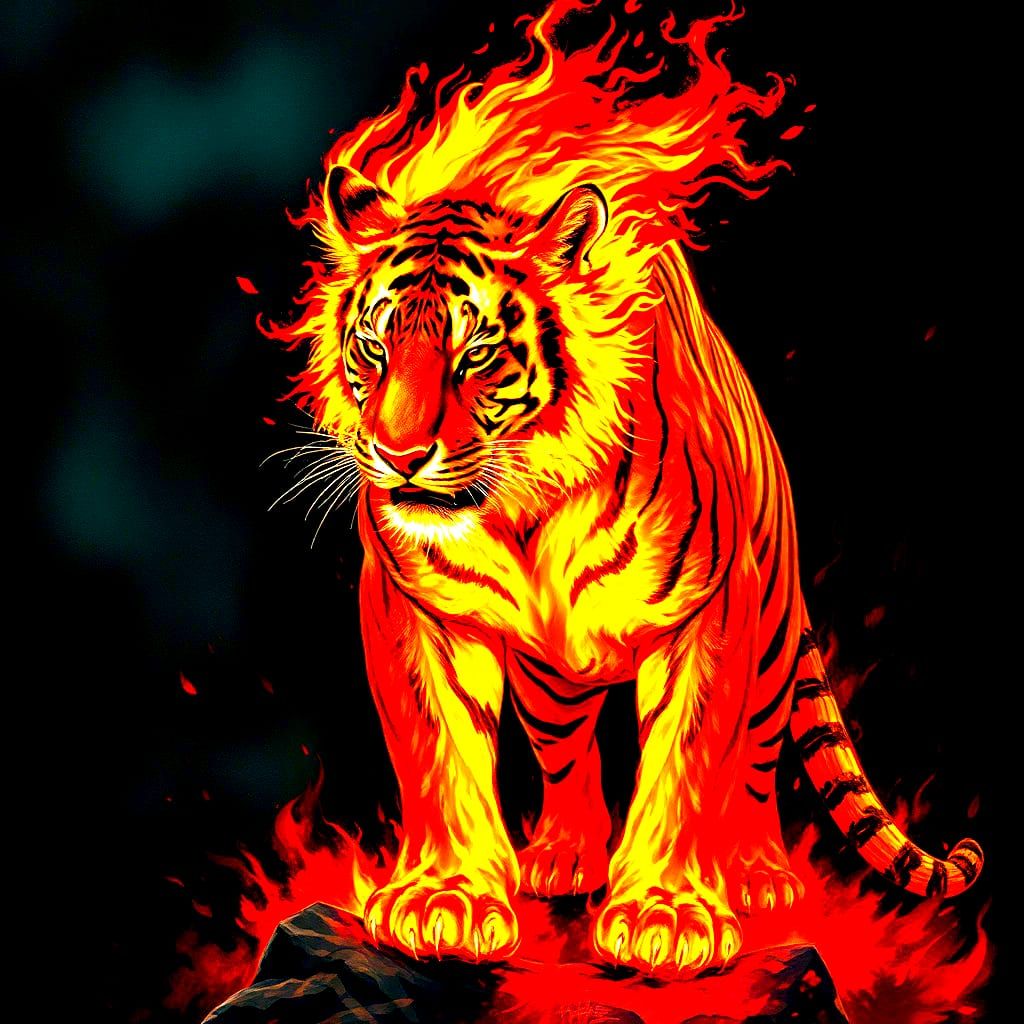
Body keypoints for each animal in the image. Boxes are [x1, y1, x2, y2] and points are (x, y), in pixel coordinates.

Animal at [271, 3, 983, 976]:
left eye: (474, 351)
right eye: (377, 346)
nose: (396, 451)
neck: (522, 514)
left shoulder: (709, 617)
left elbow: (687, 764)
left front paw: (668, 916)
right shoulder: (415, 611)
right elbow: (439, 754)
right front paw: (446, 899)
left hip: (769, 633)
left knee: (755, 764)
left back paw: (759, 872)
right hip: (550, 678)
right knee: (566, 753)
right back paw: (563, 856)